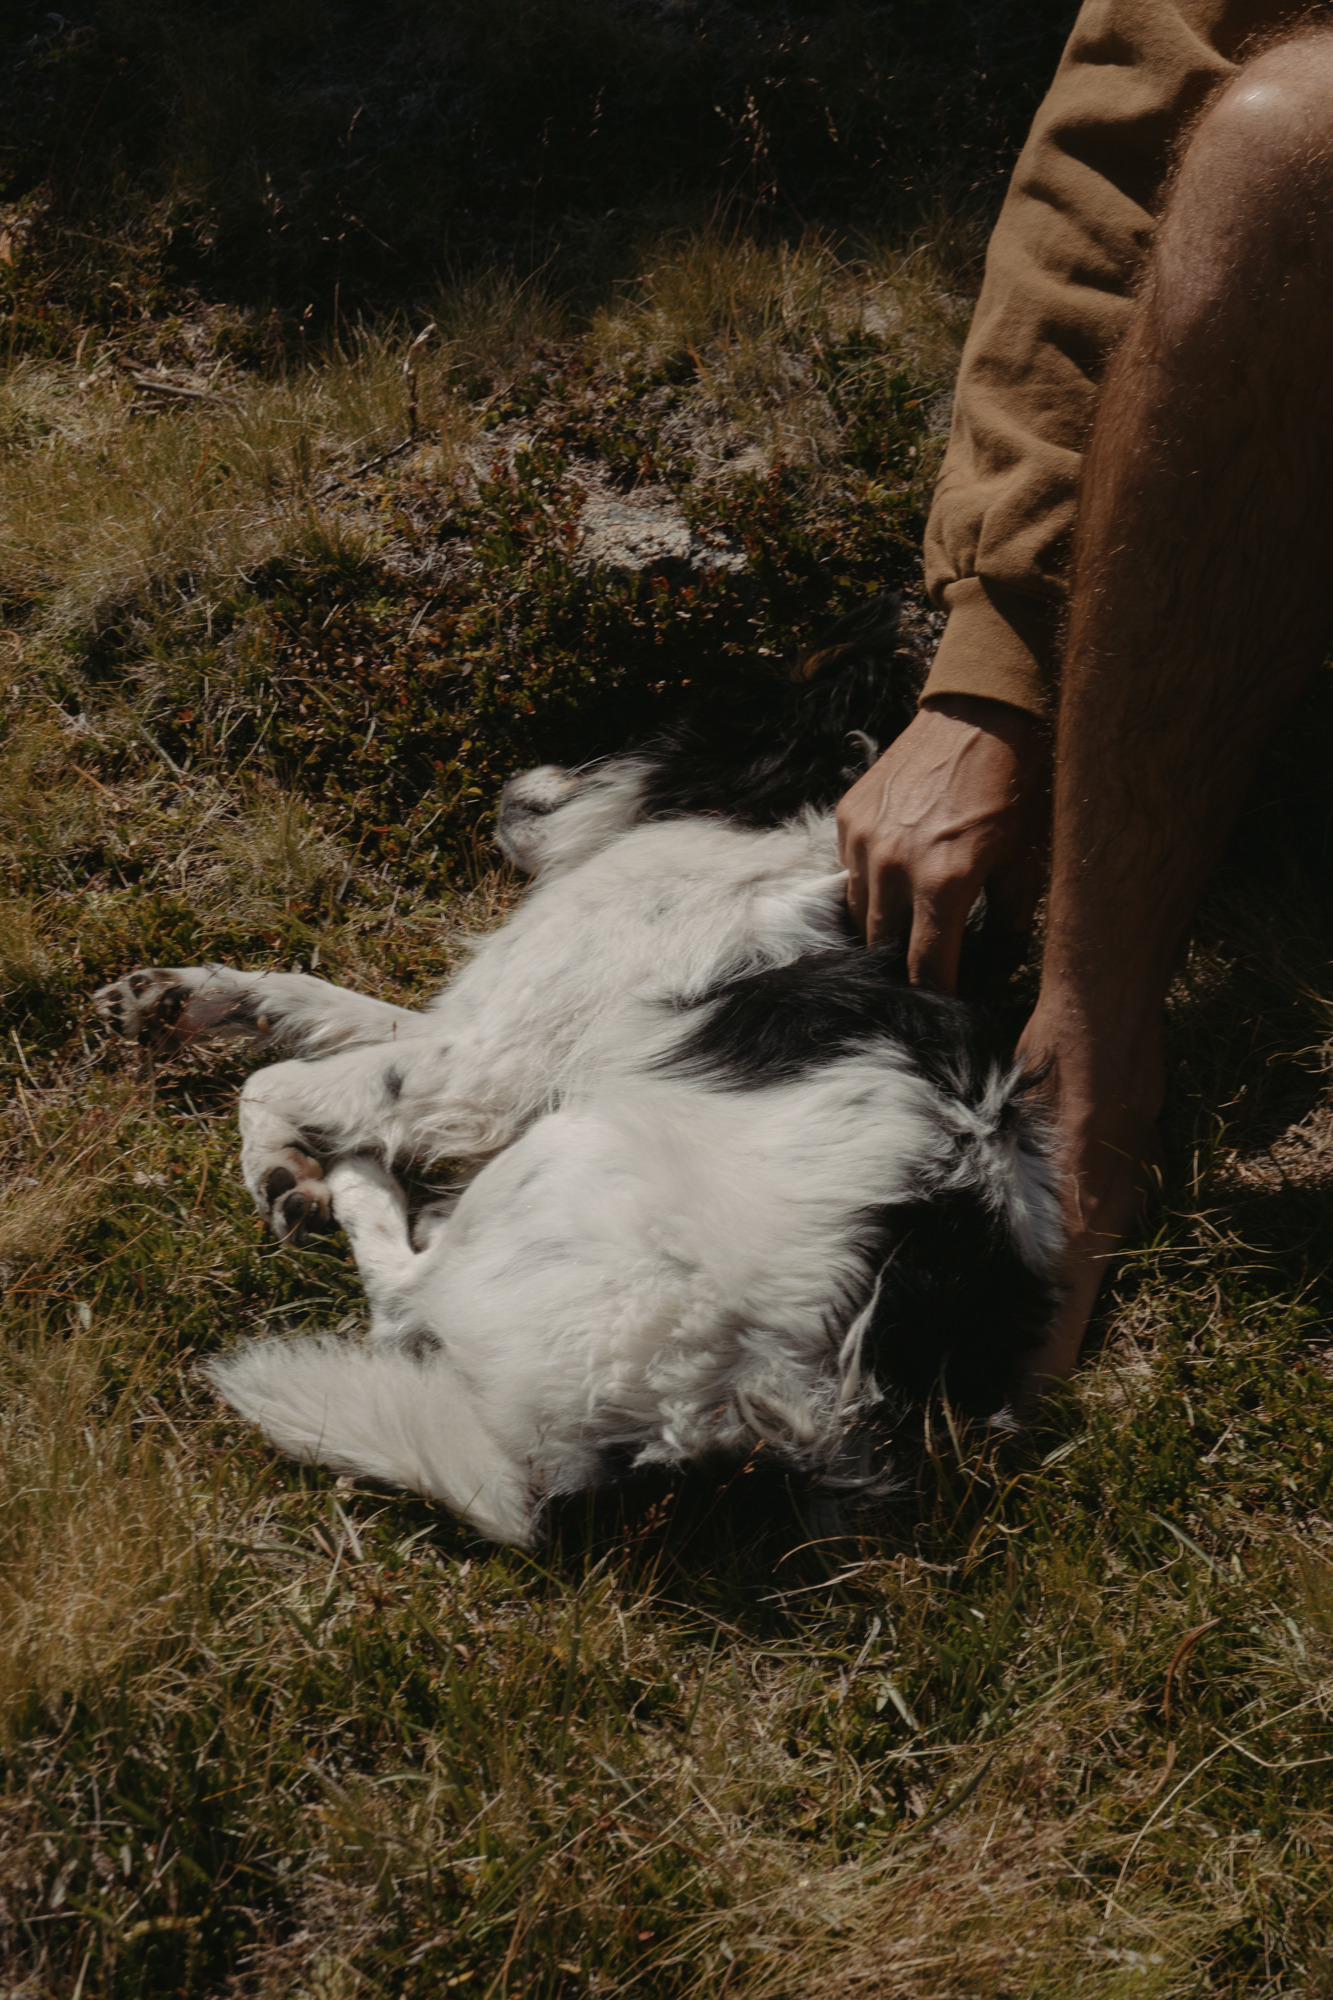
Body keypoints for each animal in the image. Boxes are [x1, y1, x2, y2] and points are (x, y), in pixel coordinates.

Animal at [94, 600, 1060, 1547]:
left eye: (651, 722)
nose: (503, 780)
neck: (773, 821)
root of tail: (713, 1439)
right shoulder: (483, 1020)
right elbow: (311, 1001)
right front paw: (178, 998)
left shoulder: (490, 1063)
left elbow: (281, 1082)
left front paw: (277, 1163)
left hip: (569, 1149)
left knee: (403, 1303)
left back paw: (360, 1179)